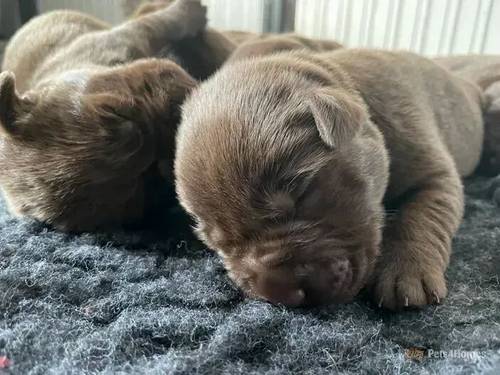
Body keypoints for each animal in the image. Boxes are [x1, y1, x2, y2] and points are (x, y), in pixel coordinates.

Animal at [176, 48, 484, 310]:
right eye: (214, 241)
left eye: (301, 193)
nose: (282, 294)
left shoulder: (433, 171)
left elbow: (422, 218)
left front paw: (406, 274)